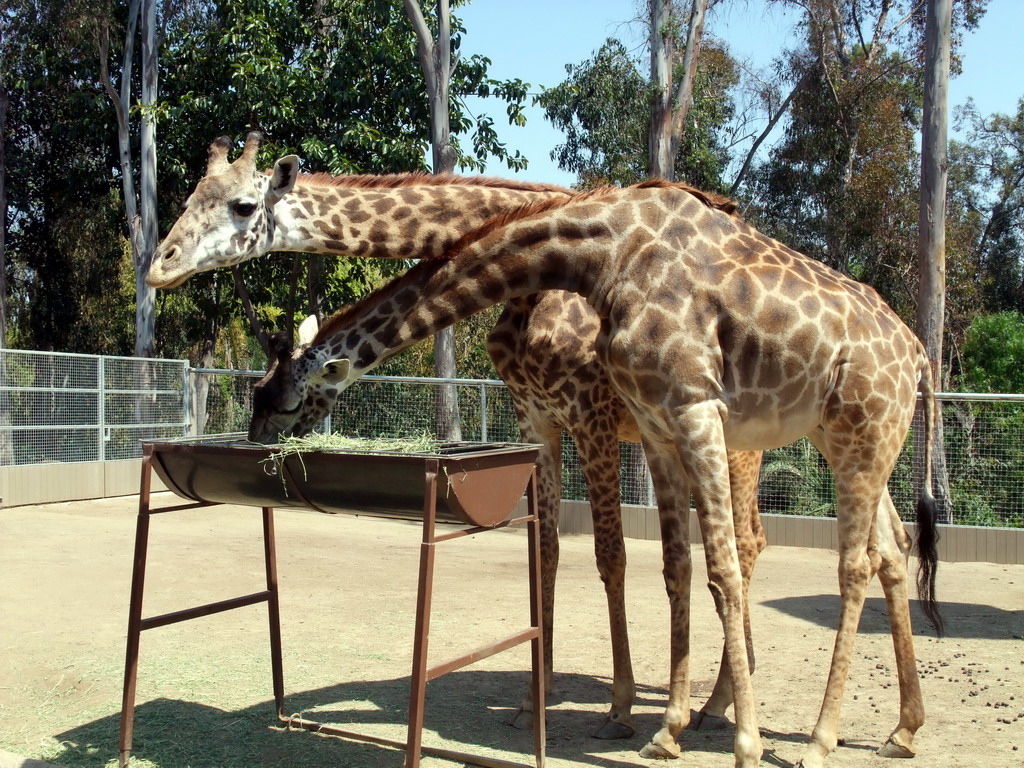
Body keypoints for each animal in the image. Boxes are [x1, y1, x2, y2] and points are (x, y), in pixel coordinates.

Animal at [146, 137, 770, 741]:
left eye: (241, 205)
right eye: (190, 196)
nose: (158, 266)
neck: (533, 290)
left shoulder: (589, 415)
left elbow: (609, 554)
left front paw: (617, 709)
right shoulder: (535, 415)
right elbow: (546, 550)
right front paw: (533, 701)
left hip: (733, 438)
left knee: (743, 545)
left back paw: (714, 706)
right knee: (740, 541)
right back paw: (715, 700)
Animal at [245, 179, 942, 768]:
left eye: (284, 397)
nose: (255, 439)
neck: (599, 253)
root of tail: (919, 354)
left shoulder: (650, 412)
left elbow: (667, 562)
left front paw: (672, 724)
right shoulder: (601, 422)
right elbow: (632, 560)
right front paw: (628, 719)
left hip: (836, 435)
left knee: (826, 559)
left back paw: (811, 737)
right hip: (845, 441)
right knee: (890, 547)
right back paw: (898, 727)